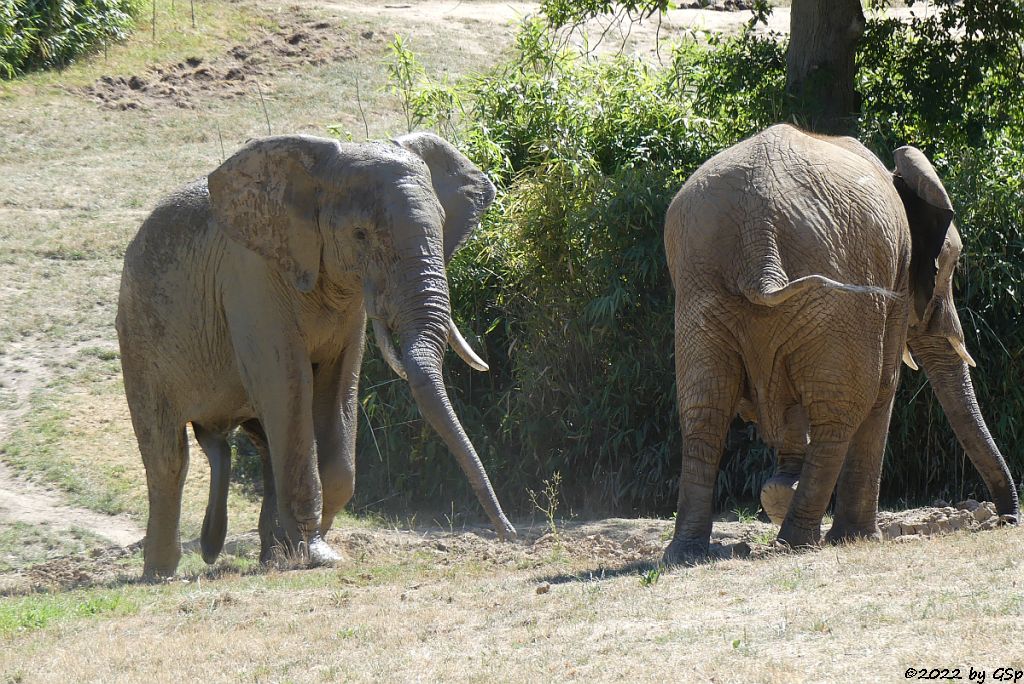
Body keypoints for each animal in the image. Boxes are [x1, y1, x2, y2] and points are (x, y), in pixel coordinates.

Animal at [116, 129, 516, 577]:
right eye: (360, 234)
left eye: (443, 225)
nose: (509, 534)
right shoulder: (252, 280)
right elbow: (288, 386)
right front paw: (314, 555)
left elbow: (339, 387)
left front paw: (309, 549)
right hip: (138, 335)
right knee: (168, 456)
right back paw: (160, 573)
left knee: (263, 441)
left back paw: (267, 553)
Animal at [659, 125, 1019, 565]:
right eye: (950, 267)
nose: (1006, 520)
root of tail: (760, 234)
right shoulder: (896, 279)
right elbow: (885, 384)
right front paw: (857, 534)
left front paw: (782, 489)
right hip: (834, 278)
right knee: (842, 408)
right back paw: (802, 541)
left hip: (702, 287)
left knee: (703, 411)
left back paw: (687, 554)